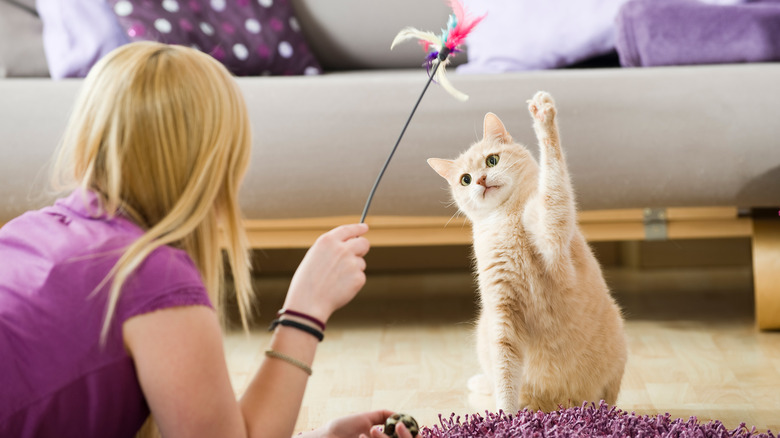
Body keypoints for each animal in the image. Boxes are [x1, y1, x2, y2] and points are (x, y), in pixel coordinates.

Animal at [426, 92, 628, 414]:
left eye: (492, 160)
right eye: (465, 180)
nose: (480, 180)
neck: (505, 219)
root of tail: (555, 403)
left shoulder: (551, 224)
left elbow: (553, 173)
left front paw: (544, 117)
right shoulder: (502, 315)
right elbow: (505, 374)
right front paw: (506, 415)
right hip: (484, 329)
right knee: (498, 379)